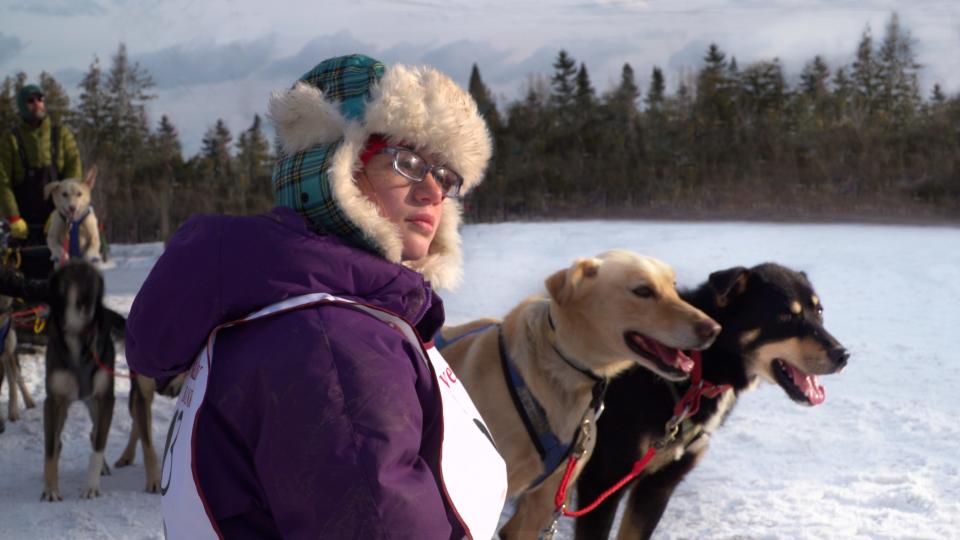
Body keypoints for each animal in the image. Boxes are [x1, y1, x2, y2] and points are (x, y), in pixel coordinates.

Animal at [41, 262, 117, 502]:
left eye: (93, 280)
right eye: (71, 278)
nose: (88, 301)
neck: (77, 335)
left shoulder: (105, 398)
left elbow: (99, 444)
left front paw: (92, 485)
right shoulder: (53, 401)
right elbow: (50, 448)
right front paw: (50, 488)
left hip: (94, 403)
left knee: (95, 432)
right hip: (65, 407)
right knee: (57, 440)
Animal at [572, 262, 844, 540]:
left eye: (819, 311)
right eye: (786, 315)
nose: (843, 355)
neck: (698, 368)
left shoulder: (659, 485)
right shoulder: (601, 487)